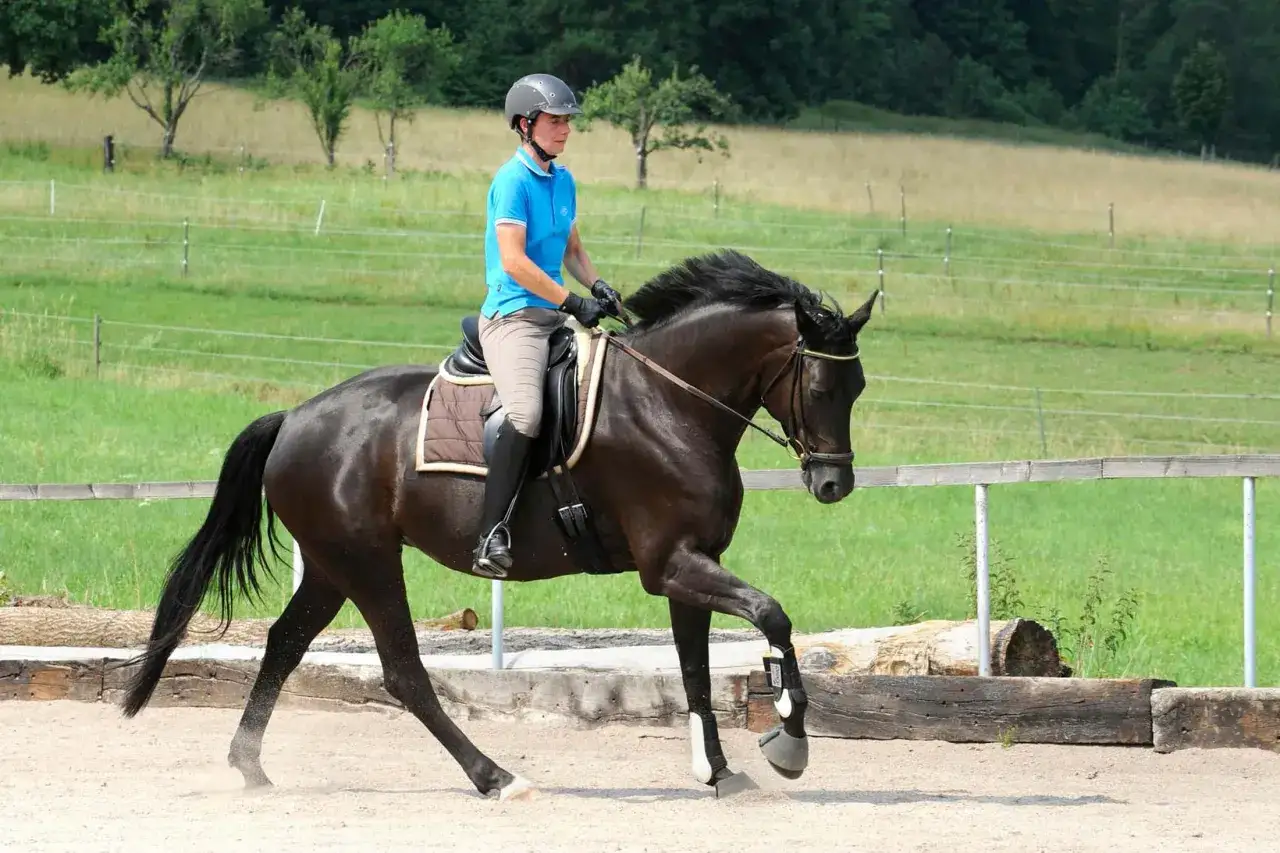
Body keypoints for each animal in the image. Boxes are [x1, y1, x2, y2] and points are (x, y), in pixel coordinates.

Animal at [116, 249, 879, 800]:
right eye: (819, 385)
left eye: (859, 387)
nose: (834, 484)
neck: (670, 401)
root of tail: (296, 417)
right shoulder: (671, 564)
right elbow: (773, 616)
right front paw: (789, 740)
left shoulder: (691, 562)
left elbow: (696, 668)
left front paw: (719, 771)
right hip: (368, 562)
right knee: (403, 674)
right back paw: (495, 776)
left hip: (334, 565)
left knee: (284, 644)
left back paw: (249, 765)